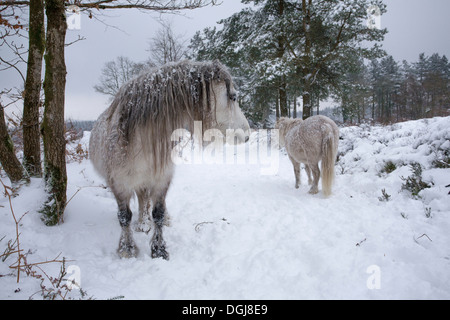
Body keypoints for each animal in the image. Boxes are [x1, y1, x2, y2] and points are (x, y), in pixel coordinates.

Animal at [88, 60, 250, 260]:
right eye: (233, 97)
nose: (247, 134)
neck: (139, 142)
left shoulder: (162, 179)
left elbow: (158, 213)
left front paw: (159, 249)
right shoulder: (119, 184)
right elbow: (124, 216)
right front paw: (127, 249)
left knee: (146, 201)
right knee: (141, 201)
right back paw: (142, 223)